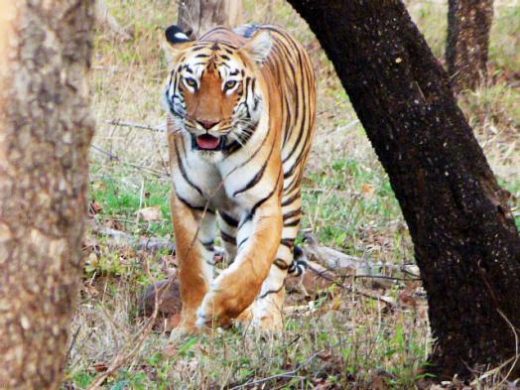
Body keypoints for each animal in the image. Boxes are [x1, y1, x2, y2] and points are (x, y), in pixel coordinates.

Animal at [165, 22, 314, 336]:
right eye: (191, 82)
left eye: (230, 85)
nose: (207, 123)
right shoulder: (188, 201)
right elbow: (192, 268)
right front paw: (191, 326)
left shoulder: (263, 204)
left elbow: (256, 264)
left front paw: (215, 309)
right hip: (230, 219)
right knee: (235, 251)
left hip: (290, 193)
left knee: (277, 268)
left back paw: (267, 323)